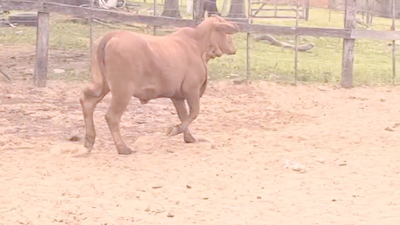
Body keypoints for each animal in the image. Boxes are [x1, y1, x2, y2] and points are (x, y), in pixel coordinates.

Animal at [79, 14, 239, 155]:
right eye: (226, 33)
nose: (234, 48)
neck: (197, 44)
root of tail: (113, 34)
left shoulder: (177, 96)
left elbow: (184, 115)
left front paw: (189, 137)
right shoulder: (191, 89)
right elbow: (193, 113)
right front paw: (173, 130)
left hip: (101, 85)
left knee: (87, 101)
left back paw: (89, 141)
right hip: (123, 91)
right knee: (112, 116)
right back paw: (123, 148)